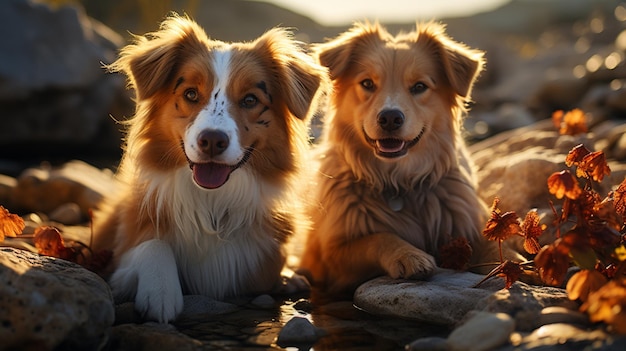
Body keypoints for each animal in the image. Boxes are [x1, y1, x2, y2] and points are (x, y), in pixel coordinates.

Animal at [93, 15, 326, 324]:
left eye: (250, 100)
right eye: (191, 94)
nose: (212, 140)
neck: (212, 204)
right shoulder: (118, 260)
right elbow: (153, 245)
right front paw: (160, 292)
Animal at [298, 20, 498, 298]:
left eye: (419, 87)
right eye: (367, 83)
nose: (390, 117)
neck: (398, 182)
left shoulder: (467, 225)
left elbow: (496, 248)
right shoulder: (329, 258)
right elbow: (378, 237)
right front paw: (409, 255)